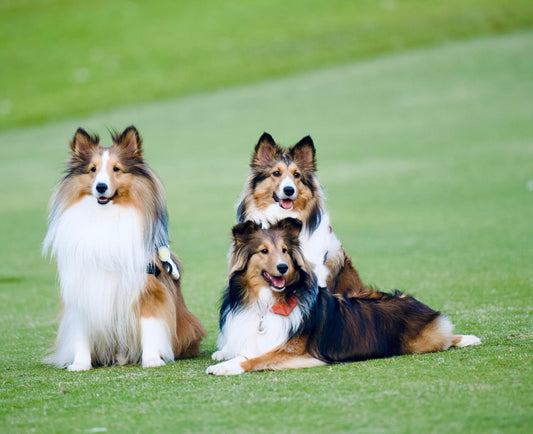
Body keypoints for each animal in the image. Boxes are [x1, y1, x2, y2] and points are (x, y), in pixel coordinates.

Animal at [43, 124, 205, 370]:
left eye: (116, 169)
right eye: (92, 169)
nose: (101, 187)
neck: (105, 217)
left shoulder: (147, 288)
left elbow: (150, 325)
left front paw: (152, 360)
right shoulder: (82, 286)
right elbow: (82, 331)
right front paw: (80, 364)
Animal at [206, 219, 480, 374]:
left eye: (284, 251)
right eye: (264, 251)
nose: (283, 267)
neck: (266, 302)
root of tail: (421, 305)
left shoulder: (298, 353)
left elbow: (254, 358)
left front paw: (225, 367)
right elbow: (245, 351)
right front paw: (224, 356)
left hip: (423, 342)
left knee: (447, 338)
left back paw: (467, 338)